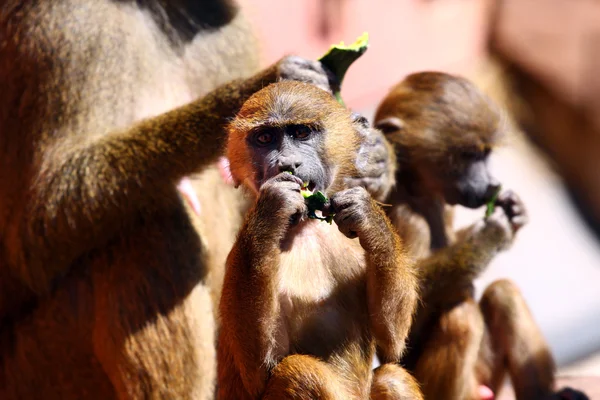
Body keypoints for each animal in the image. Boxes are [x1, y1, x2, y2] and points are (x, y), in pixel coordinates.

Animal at [219, 81, 422, 400]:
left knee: (392, 377)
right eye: (264, 138)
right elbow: (257, 372)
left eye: (301, 133)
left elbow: (391, 341)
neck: (307, 226)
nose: (287, 163)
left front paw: (368, 216)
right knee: (299, 371)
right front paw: (274, 205)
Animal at [376, 72, 584, 400]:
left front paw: (514, 212)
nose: (493, 184)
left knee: (503, 293)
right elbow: (401, 318)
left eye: (485, 155)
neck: (416, 191)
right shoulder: (408, 218)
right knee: (461, 316)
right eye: (470, 155)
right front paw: (490, 237)